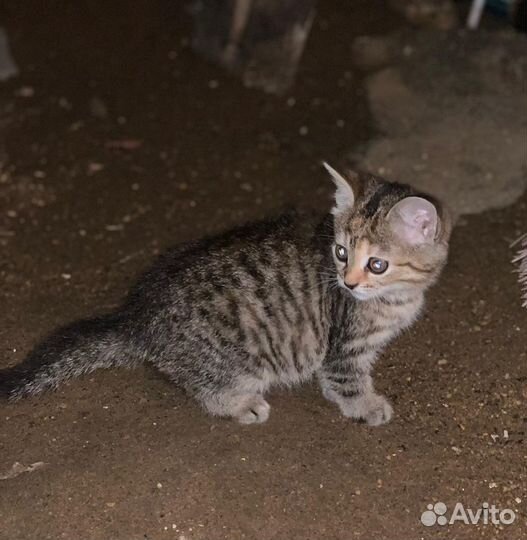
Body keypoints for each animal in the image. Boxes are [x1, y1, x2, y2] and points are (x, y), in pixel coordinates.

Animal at [1, 165, 454, 426]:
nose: (349, 283)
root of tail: (138, 316)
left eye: (377, 264)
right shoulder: (343, 345)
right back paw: (239, 404)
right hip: (235, 359)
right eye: (341, 253)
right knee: (200, 383)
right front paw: (366, 406)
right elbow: (346, 380)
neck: (397, 296)